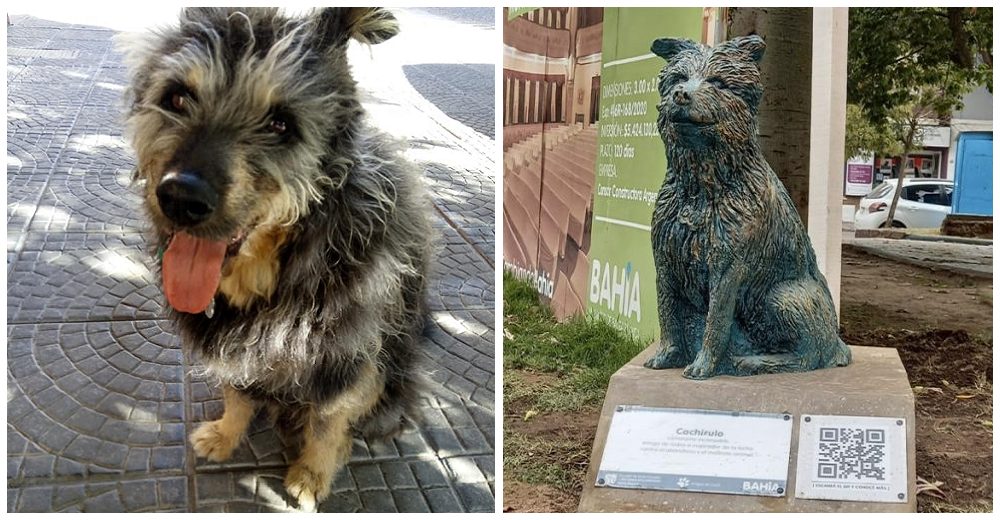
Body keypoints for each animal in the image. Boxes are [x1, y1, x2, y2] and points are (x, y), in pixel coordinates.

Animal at [119, 7, 432, 512]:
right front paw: (226, 435)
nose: (181, 198)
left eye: (281, 123)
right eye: (177, 97)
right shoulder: (234, 347)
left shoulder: (344, 361)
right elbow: (237, 394)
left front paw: (311, 475)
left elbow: (327, 423)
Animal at [644, 35, 848, 378]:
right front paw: (667, 356)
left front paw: (703, 365)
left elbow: (715, 323)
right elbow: (667, 315)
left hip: (780, 297)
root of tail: (839, 343)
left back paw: (750, 361)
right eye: (678, 78)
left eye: (718, 82)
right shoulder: (666, 260)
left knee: (808, 356)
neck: (702, 189)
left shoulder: (728, 266)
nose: (681, 94)